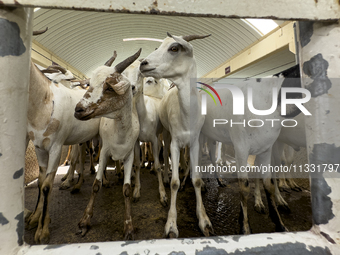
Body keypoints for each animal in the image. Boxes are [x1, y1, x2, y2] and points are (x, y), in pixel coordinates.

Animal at [74, 48, 141, 240]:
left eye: (109, 87)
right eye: (90, 84)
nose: (78, 110)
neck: (120, 134)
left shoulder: (129, 155)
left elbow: (127, 189)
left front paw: (129, 227)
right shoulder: (104, 151)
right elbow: (95, 186)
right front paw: (84, 221)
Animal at [139, 32, 211, 238]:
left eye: (174, 48)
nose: (143, 63)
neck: (187, 115)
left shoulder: (194, 143)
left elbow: (196, 179)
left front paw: (203, 219)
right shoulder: (175, 143)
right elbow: (174, 183)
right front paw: (171, 224)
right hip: (166, 133)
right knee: (163, 156)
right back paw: (163, 176)